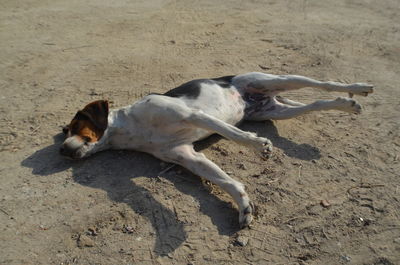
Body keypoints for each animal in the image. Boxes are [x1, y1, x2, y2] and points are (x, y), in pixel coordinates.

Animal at [61, 71, 374, 227]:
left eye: (75, 125)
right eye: (66, 132)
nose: (62, 150)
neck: (130, 128)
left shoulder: (192, 115)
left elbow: (232, 133)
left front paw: (258, 145)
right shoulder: (186, 156)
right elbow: (227, 182)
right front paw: (244, 206)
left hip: (275, 79)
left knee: (322, 83)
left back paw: (358, 88)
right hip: (273, 110)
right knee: (316, 103)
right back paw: (346, 104)